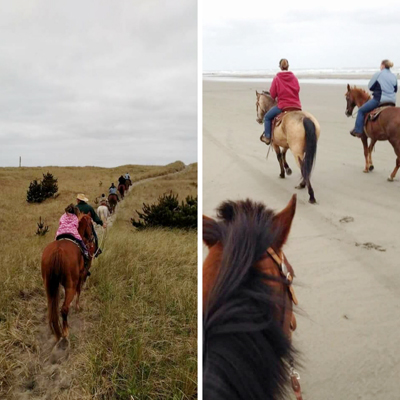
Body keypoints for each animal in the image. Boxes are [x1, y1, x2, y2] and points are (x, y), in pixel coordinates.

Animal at [41, 212, 95, 340]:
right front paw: (78, 306)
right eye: (90, 224)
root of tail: (58, 251)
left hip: (49, 286)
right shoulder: (82, 275)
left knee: (52, 307)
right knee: (64, 308)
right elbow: (79, 291)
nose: (91, 238)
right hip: (71, 285)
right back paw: (65, 333)